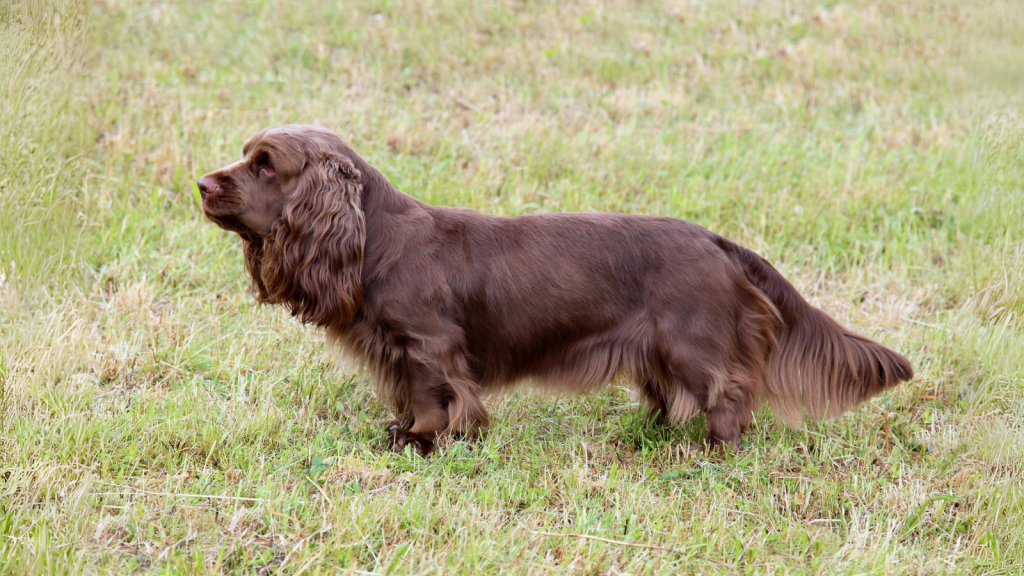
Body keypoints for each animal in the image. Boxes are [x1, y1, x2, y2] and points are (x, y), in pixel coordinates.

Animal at [197, 124, 913, 453]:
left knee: (729, 390)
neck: (376, 239)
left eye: (266, 165)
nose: (201, 183)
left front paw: (423, 440)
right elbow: (406, 393)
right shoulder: (395, 350)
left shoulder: (428, 345)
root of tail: (716, 240)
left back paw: (712, 450)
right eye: (246, 156)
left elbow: (433, 396)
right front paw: (406, 431)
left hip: (692, 341)